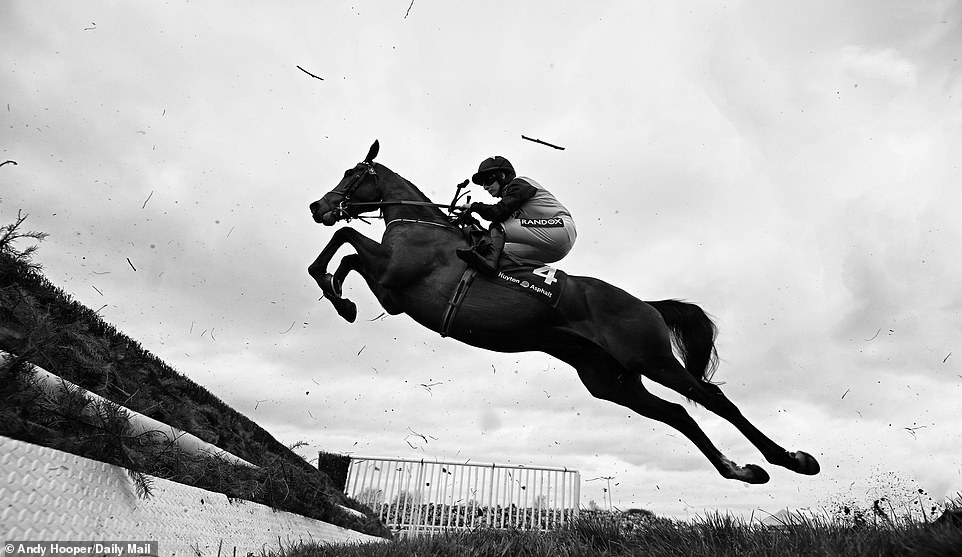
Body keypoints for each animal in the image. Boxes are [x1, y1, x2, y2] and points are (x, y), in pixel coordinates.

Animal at [308, 141, 816, 484]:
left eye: (352, 173)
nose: (318, 205)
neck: (422, 225)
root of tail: (644, 304)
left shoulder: (395, 274)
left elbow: (344, 241)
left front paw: (338, 294)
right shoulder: (392, 293)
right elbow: (345, 254)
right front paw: (342, 298)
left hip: (648, 356)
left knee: (712, 399)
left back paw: (792, 459)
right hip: (611, 380)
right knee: (677, 414)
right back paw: (740, 470)